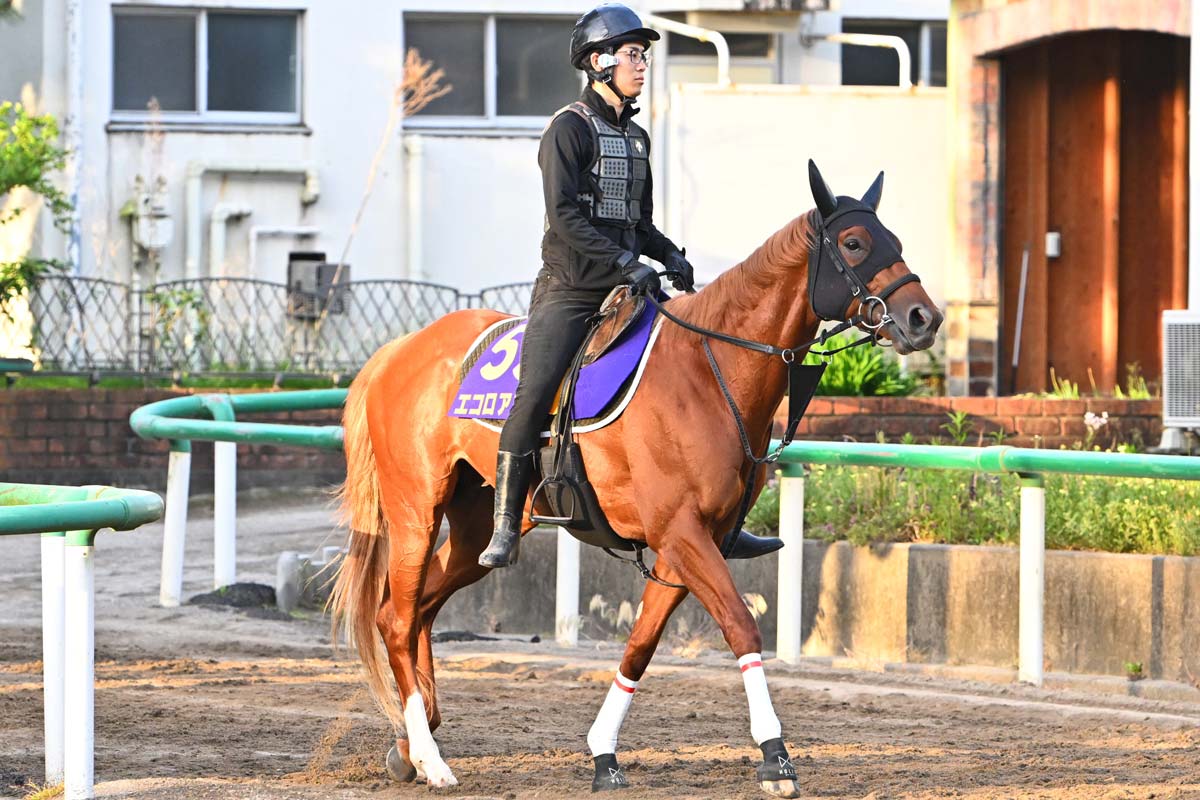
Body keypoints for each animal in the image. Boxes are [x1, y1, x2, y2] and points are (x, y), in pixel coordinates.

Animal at [330, 161, 943, 797]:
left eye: (894, 239)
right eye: (854, 243)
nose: (924, 318)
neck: (706, 371)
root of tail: (397, 351)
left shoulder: (686, 545)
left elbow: (640, 647)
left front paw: (604, 753)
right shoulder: (683, 534)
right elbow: (742, 628)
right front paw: (775, 756)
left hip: (478, 528)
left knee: (419, 609)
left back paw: (413, 741)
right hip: (415, 514)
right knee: (398, 618)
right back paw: (431, 757)